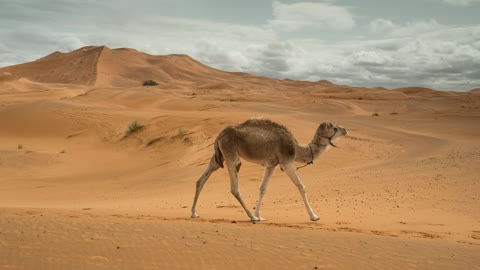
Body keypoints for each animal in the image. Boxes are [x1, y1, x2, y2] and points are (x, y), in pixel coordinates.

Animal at [190, 118, 344, 221]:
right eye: (334, 127)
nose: (345, 129)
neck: (297, 148)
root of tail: (220, 135)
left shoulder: (271, 164)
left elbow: (263, 188)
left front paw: (259, 215)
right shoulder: (286, 162)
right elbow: (301, 186)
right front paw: (314, 216)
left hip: (218, 156)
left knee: (201, 180)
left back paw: (194, 213)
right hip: (230, 152)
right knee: (234, 186)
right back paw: (251, 217)